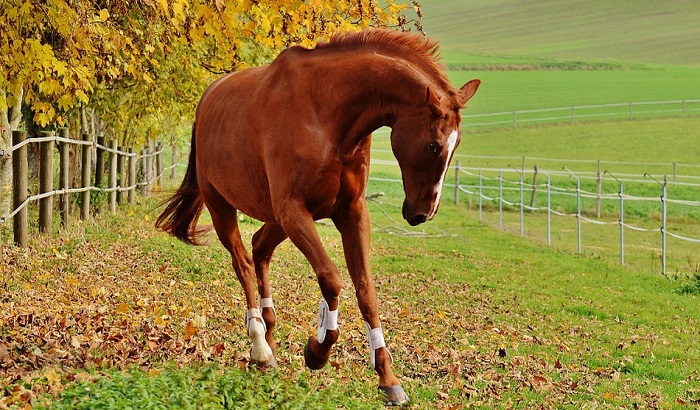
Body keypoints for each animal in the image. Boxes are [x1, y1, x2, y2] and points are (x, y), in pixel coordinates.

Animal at [156, 29, 478, 406]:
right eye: (434, 146)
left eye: (456, 146)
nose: (422, 213)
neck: (327, 115)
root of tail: (207, 100)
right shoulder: (295, 211)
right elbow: (332, 279)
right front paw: (317, 350)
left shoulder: (351, 214)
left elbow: (366, 291)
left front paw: (387, 378)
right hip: (223, 207)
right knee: (244, 263)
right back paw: (260, 346)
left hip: (275, 219)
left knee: (259, 248)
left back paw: (270, 335)